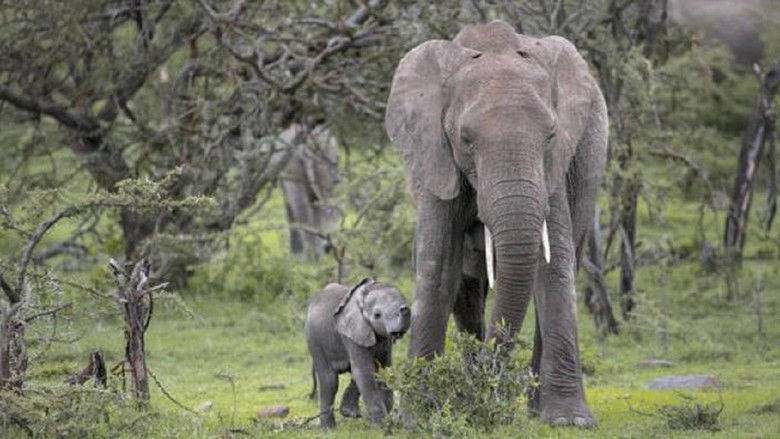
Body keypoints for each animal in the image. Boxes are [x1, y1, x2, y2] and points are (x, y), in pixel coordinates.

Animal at [305, 278, 410, 429]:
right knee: (329, 380)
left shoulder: (385, 341)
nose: (405, 308)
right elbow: (364, 371)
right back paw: (329, 429)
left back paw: (348, 412)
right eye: (377, 315)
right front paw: (381, 427)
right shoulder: (352, 333)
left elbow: (383, 369)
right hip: (315, 339)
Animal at [385, 20, 607, 427]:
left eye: (550, 136)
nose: (492, 390)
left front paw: (569, 421)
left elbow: (554, 267)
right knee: (466, 288)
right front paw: (416, 420)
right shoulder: (437, 157)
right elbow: (438, 267)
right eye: (465, 139)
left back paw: (533, 409)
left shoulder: (553, 168)